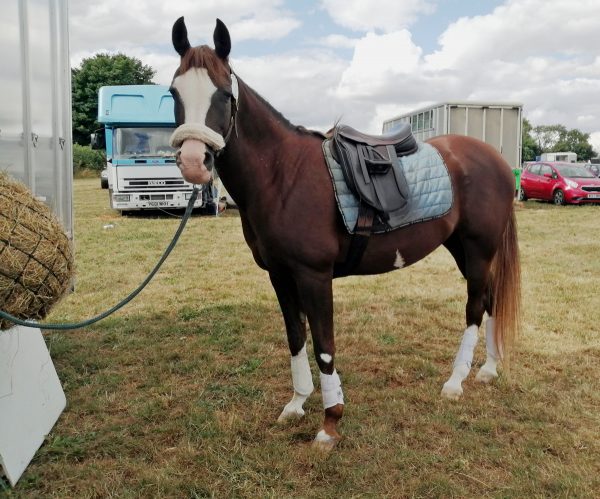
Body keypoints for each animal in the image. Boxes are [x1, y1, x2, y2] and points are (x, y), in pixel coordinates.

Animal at [168, 17, 520, 452]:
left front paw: (330, 423)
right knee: (490, 300)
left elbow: (324, 347)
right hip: (462, 249)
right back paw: (488, 369)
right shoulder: (280, 276)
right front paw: (296, 404)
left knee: (474, 307)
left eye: (223, 94)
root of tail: (495, 159)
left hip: (478, 249)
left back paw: (455, 382)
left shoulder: (314, 276)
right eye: (173, 92)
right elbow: (296, 338)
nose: (193, 161)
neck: (282, 175)